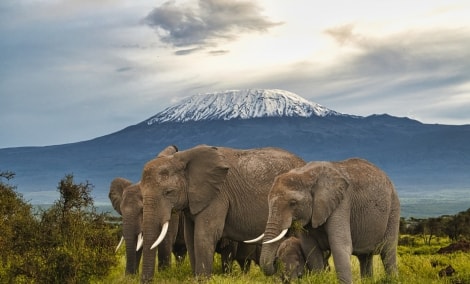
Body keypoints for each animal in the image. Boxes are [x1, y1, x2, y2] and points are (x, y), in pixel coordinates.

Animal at [139, 145, 304, 282]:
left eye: (168, 192)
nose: (147, 281)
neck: (184, 158)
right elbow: (190, 237)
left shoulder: (218, 195)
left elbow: (204, 235)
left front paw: (202, 280)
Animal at [258, 159, 398, 282]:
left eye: (293, 203)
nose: (276, 261)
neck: (307, 174)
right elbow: (311, 249)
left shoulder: (342, 203)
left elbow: (340, 246)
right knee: (365, 257)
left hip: (393, 208)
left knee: (388, 252)